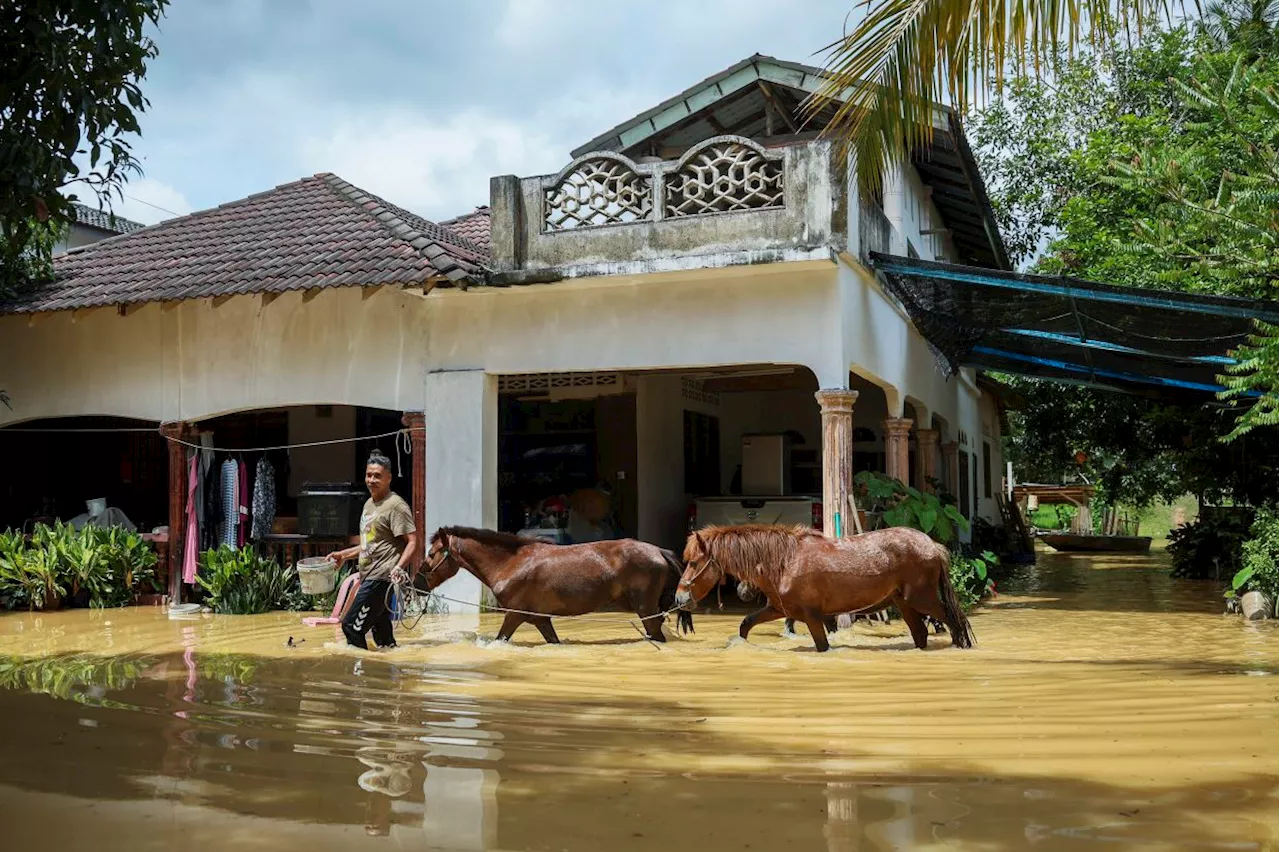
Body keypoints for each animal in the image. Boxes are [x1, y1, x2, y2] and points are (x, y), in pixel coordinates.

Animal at [422, 527, 696, 639]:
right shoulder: (541, 620)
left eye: (431, 553)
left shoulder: (513, 615)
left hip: (645, 611)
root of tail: (658, 551)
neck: (510, 563)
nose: (418, 582)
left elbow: (500, 639)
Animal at [675, 516, 972, 649]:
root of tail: (932, 545)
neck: (785, 561)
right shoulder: (780, 609)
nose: (679, 598)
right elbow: (745, 624)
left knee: (955, 622)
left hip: (922, 599)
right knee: (921, 633)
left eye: (693, 562)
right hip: (905, 603)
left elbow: (822, 646)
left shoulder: (812, 616)